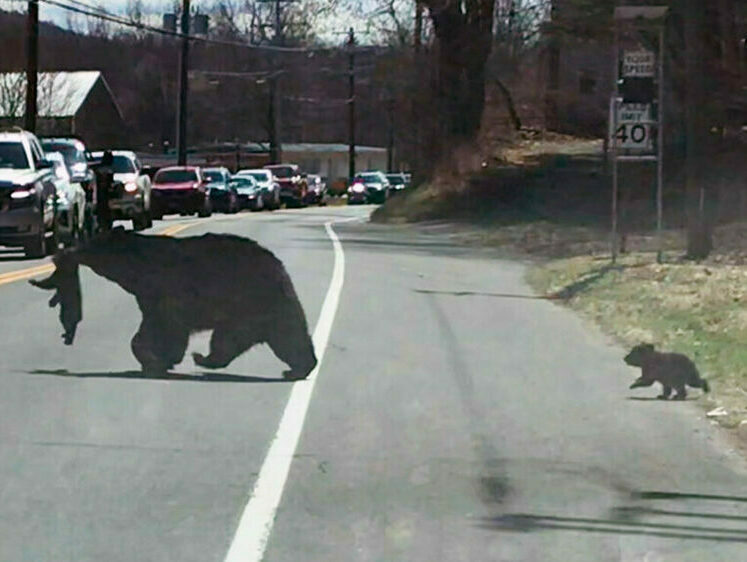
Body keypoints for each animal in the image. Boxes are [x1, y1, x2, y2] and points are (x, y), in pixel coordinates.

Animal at [28, 225, 316, 378]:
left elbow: (163, 327)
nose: (68, 251)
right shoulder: (148, 296)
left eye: (92, 243)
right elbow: (155, 326)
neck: (137, 268)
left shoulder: (165, 290)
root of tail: (281, 270)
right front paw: (162, 359)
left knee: (266, 337)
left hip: (252, 303)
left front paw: (156, 360)